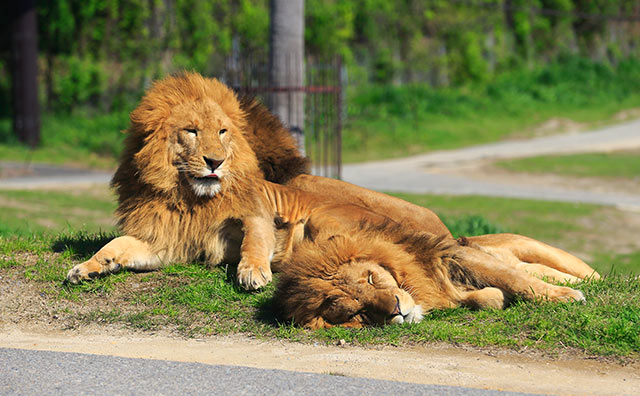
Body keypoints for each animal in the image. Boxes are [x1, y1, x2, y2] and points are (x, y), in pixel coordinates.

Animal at [276, 221, 592, 330]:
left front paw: (565, 296)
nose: (397, 310)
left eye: (370, 278)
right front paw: (496, 297)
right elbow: (486, 297)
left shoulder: (455, 255)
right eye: (358, 312)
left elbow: (515, 278)